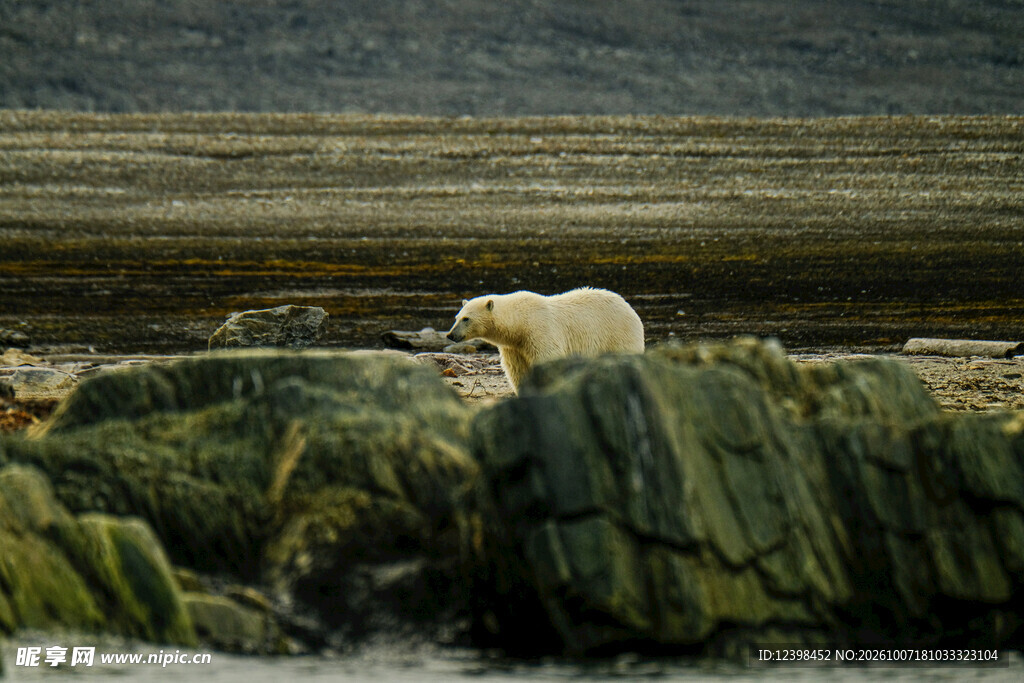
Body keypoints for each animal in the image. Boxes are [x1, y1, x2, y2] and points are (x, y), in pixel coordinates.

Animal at [445, 287, 645, 393]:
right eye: (456, 317)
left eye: (466, 319)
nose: (451, 335)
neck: (519, 322)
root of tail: (628, 306)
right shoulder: (514, 347)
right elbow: (517, 370)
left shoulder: (540, 331)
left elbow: (548, 359)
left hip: (617, 333)